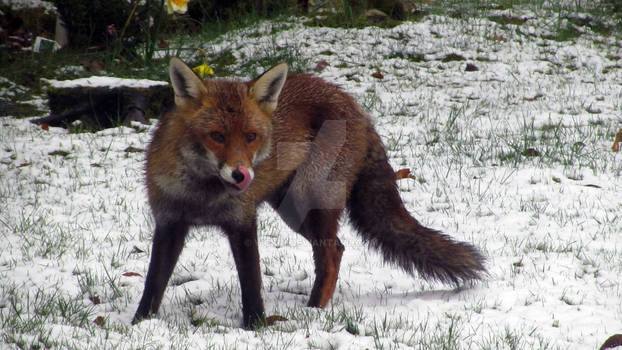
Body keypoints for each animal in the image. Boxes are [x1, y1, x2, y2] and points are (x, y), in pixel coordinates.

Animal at [134, 56, 490, 328]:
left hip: (309, 201)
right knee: (339, 248)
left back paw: (314, 311)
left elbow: (251, 284)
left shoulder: (243, 223)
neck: (203, 195)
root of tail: (355, 105)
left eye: (250, 137)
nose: (241, 174)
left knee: (331, 254)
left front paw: (256, 327)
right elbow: (153, 282)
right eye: (217, 136)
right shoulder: (169, 223)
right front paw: (141, 324)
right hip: (292, 209)